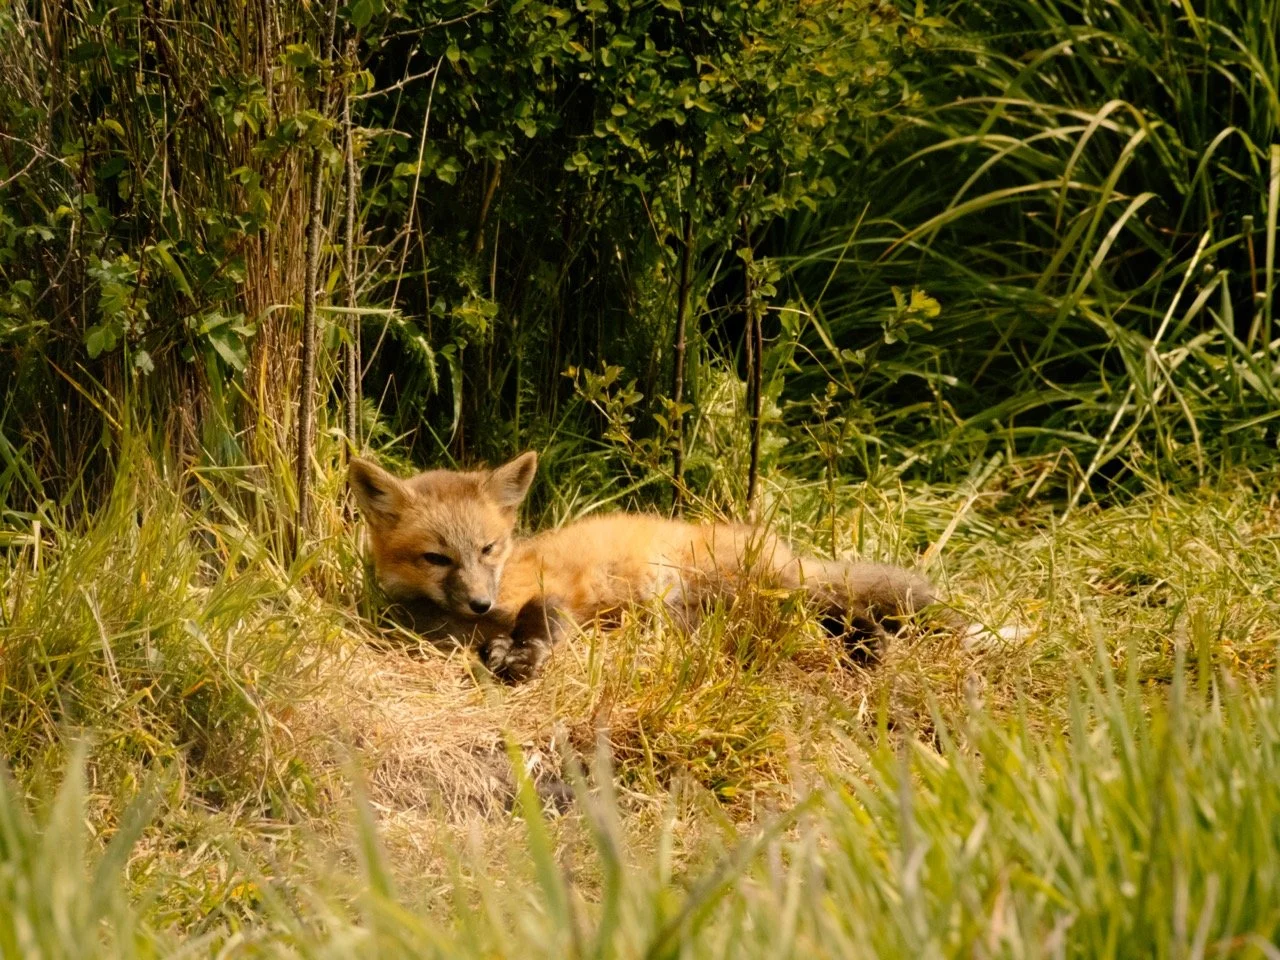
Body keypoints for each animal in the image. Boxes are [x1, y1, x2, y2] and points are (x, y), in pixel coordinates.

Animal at [349, 451, 947, 683]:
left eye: (489, 549)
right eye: (437, 558)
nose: (480, 602)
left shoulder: (555, 591)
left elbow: (537, 619)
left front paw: (523, 655)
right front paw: (497, 649)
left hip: (760, 589)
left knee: (836, 606)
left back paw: (869, 646)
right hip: (711, 612)